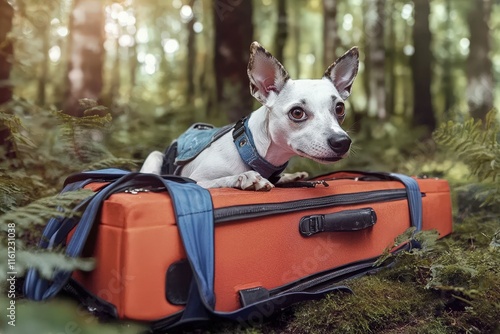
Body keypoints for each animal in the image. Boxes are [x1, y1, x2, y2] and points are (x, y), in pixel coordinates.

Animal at [140, 42, 360, 190]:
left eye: (340, 109)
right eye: (297, 113)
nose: (342, 141)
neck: (251, 149)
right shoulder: (196, 181)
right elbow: (221, 180)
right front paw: (245, 177)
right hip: (155, 157)